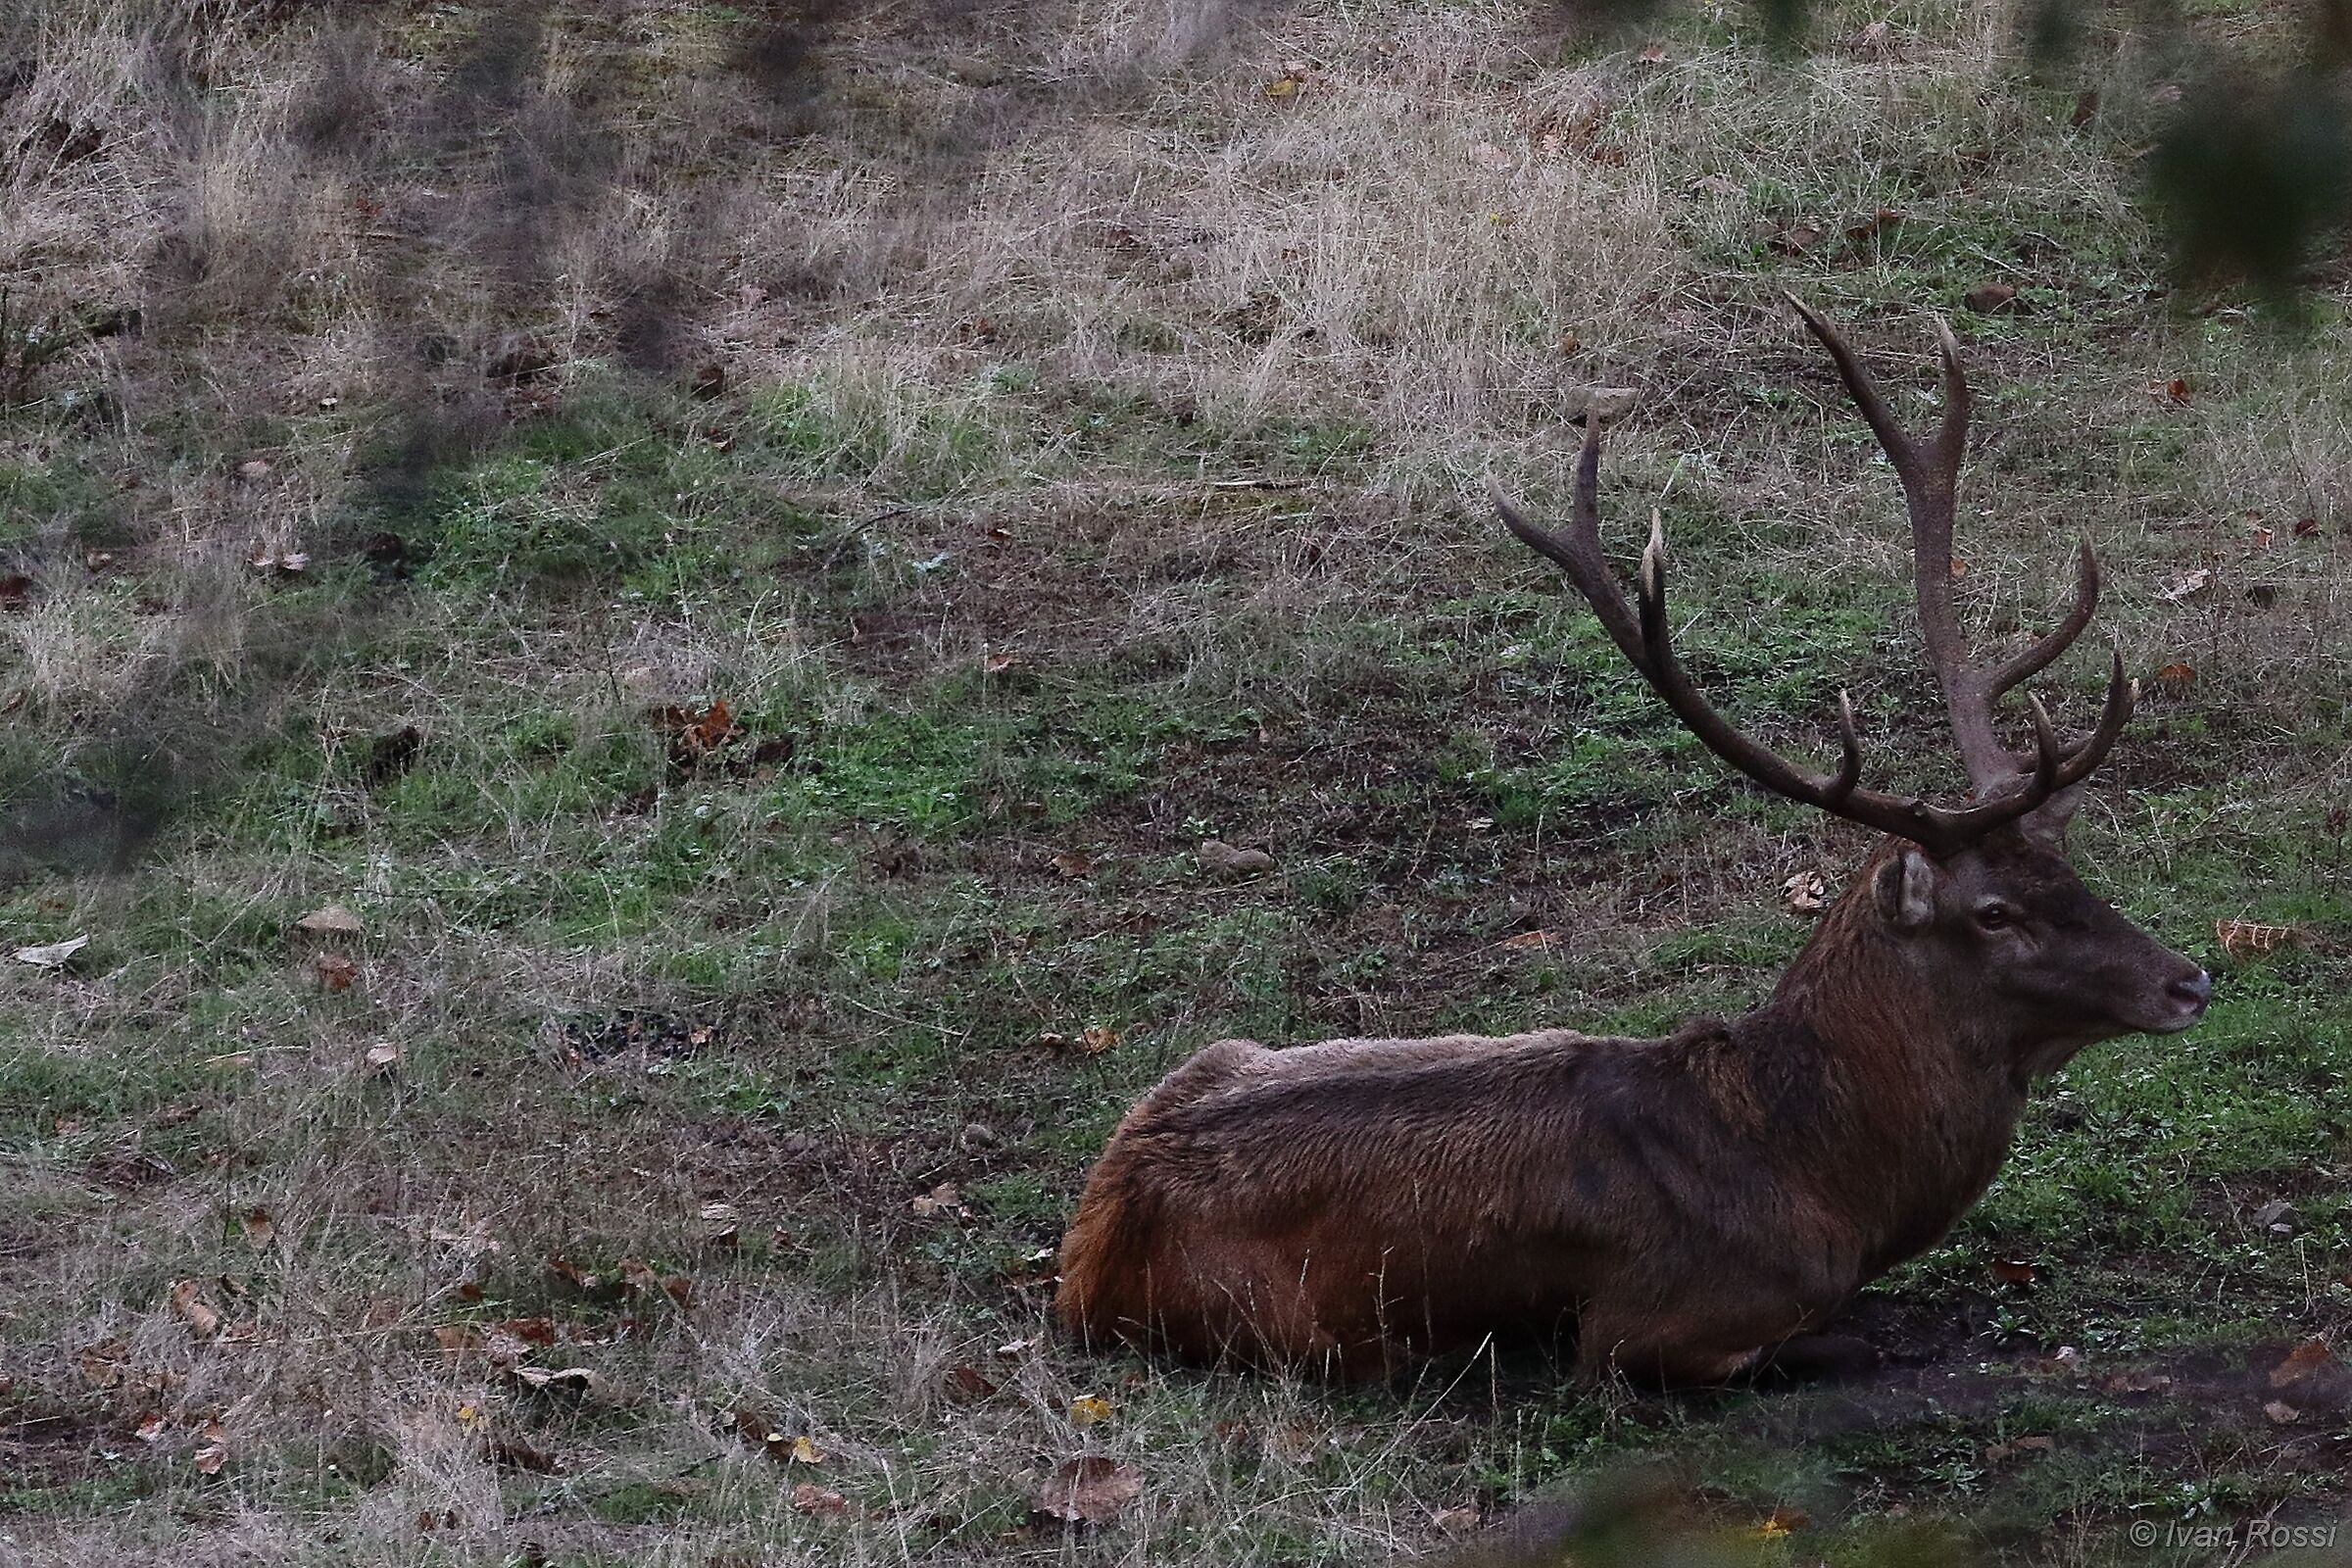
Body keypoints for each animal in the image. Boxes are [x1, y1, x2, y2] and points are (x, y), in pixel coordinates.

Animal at [1053, 299, 2213, 1386]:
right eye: (1995, 912)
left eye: (2069, 870)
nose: (2189, 981)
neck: (1826, 1185)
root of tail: (1086, 1254)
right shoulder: (1650, 1331)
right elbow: (1838, 1346)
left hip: (1224, 1051)